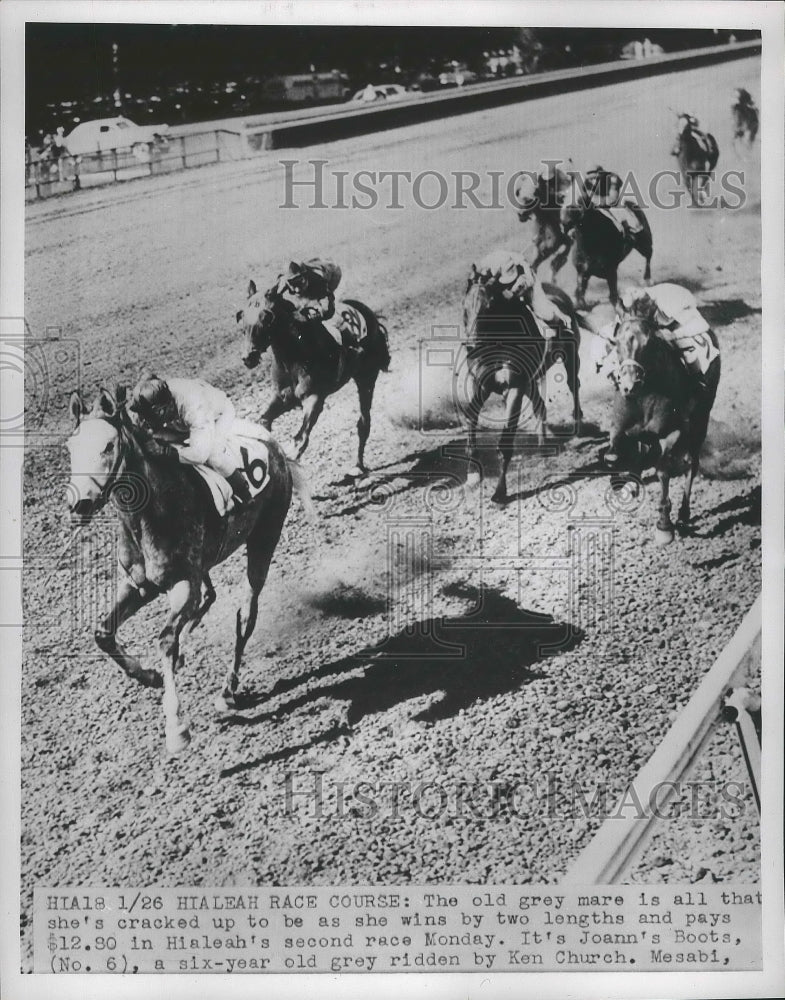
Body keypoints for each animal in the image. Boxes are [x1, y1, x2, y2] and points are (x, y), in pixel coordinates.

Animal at [64, 386, 296, 752]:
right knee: (210, 596)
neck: (148, 514)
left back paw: (228, 690)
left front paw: (176, 726)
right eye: (71, 448)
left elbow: (165, 639)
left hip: (264, 540)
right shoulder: (140, 585)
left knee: (245, 616)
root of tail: (274, 445)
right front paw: (149, 675)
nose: (79, 505)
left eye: (108, 446)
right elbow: (103, 633)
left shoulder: (184, 583)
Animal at [236, 280, 388, 478]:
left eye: (266, 317)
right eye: (243, 315)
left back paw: (358, 466)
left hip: (366, 379)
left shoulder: (313, 397)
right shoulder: (282, 398)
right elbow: (263, 420)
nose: (248, 356)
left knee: (364, 422)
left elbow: (301, 437)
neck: (294, 356)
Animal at [460, 266, 580, 504]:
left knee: (574, 385)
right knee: (540, 405)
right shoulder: (482, 384)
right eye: (465, 306)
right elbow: (470, 417)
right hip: (531, 382)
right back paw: (543, 446)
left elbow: (506, 441)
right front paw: (473, 475)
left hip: (570, 360)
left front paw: (500, 492)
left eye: (489, 307)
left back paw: (578, 421)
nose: (471, 346)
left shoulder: (514, 387)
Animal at [608, 298, 724, 544]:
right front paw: (626, 483)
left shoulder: (672, 432)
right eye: (616, 340)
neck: (644, 395)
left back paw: (683, 516)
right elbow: (614, 452)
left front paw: (664, 526)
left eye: (649, 342)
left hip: (700, 423)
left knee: (692, 464)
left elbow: (663, 469)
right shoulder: (619, 427)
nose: (629, 384)